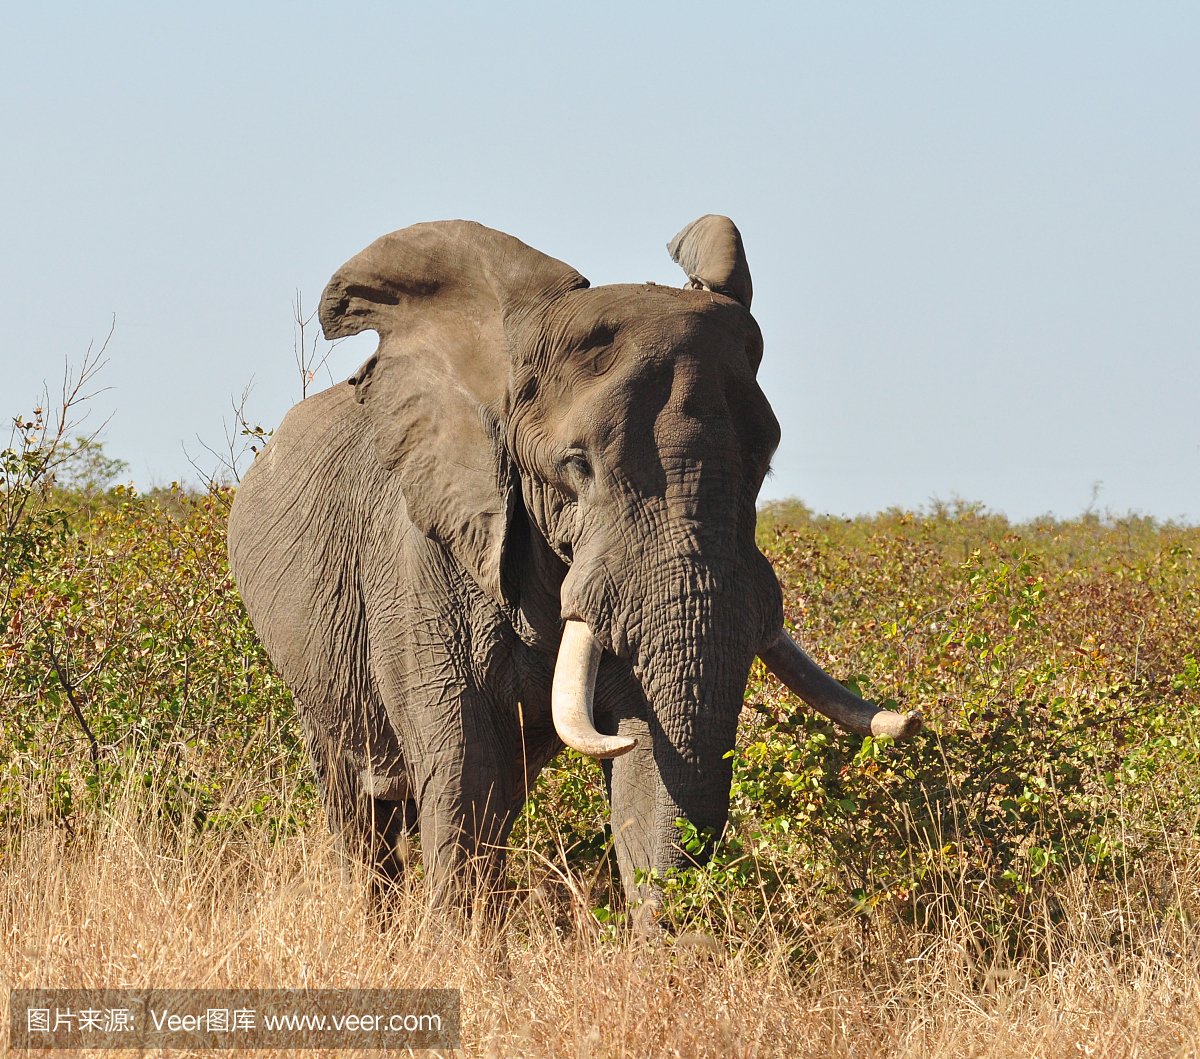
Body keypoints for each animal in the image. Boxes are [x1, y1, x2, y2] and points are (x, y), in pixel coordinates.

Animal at [226, 212, 916, 907]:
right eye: (577, 464)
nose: (911, 719)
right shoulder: (416, 561)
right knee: (359, 800)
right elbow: (465, 771)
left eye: (764, 462)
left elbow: (647, 766)